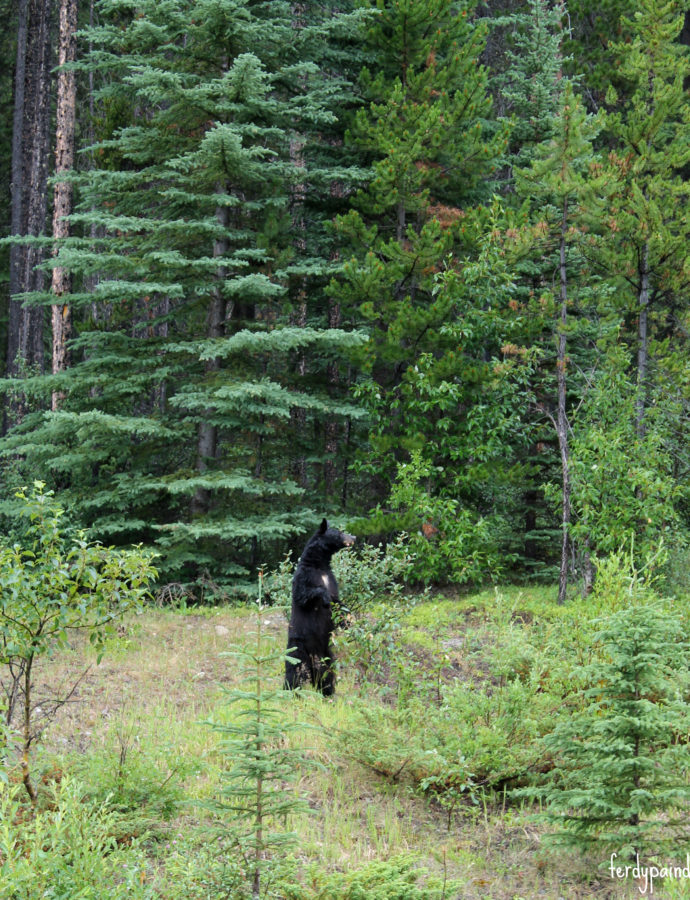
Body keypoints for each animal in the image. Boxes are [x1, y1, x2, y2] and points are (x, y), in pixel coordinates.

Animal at [282, 520, 352, 696]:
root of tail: (313, 655)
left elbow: (338, 602)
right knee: (294, 672)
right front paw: (324, 597)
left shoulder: (331, 579)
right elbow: (304, 594)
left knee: (326, 675)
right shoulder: (304, 576)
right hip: (297, 649)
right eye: (339, 532)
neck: (319, 565)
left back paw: (328, 693)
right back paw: (290, 691)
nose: (353, 537)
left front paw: (348, 619)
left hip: (326, 655)